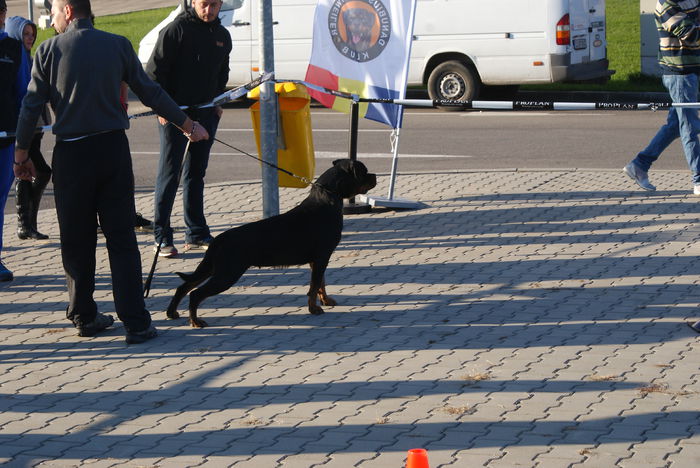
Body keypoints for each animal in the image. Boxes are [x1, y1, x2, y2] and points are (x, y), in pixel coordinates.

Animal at [167, 159, 378, 328]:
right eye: (364, 171)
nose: (375, 175)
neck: (328, 198)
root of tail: (218, 239)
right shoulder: (321, 257)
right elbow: (314, 286)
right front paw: (314, 309)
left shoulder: (318, 260)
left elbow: (320, 283)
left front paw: (325, 300)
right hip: (227, 273)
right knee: (195, 293)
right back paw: (195, 321)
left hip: (213, 268)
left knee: (185, 286)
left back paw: (172, 313)